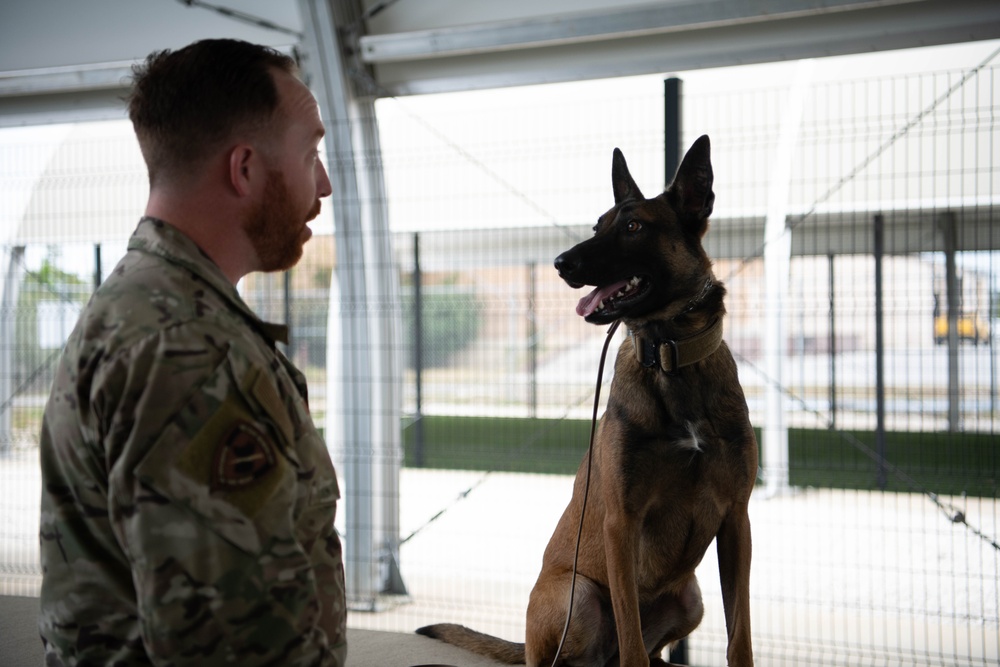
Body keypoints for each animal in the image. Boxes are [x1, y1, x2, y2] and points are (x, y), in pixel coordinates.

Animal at [418, 137, 752, 667]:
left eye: (634, 227)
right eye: (598, 226)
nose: (560, 263)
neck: (670, 358)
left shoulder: (736, 522)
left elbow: (739, 637)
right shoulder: (622, 523)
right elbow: (633, 644)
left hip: (692, 599)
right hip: (577, 595)